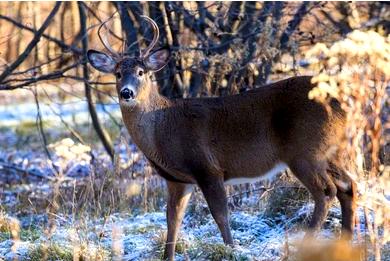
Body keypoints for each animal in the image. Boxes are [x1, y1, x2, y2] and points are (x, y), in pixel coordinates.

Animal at [88, 16, 356, 260]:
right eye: (117, 73)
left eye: (141, 72)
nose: (126, 93)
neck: (162, 128)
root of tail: (341, 100)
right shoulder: (177, 179)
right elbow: (172, 221)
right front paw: (168, 256)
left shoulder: (207, 168)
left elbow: (220, 215)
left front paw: (232, 250)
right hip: (329, 152)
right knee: (348, 186)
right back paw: (346, 241)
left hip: (305, 151)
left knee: (326, 191)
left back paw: (306, 246)